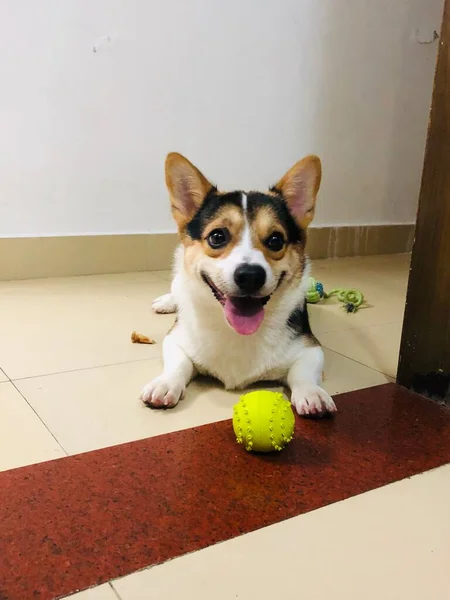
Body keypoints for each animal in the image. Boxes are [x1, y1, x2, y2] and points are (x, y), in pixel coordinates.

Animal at [139, 154, 336, 418]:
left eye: (276, 240)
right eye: (217, 237)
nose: (250, 276)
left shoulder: (311, 348)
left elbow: (303, 372)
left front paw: (312, 393)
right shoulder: (175, 339)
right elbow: (178, 364)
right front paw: (164, 384)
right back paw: (166, 302)